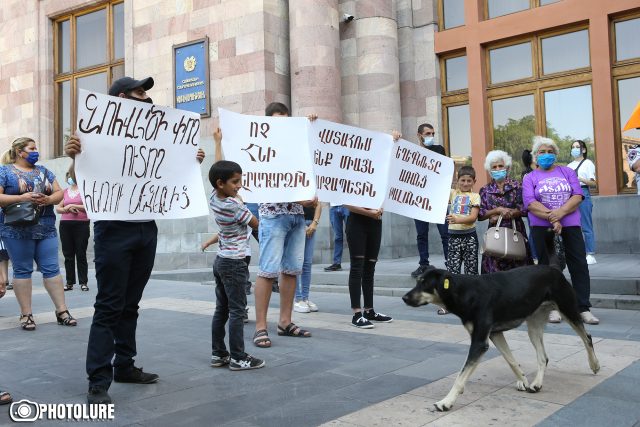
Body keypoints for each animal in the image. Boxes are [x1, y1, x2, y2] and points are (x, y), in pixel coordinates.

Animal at [404, 268, 600, 412]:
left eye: (424, 284)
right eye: (418, 281)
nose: (404, 298)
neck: (464, 292)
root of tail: (555, 269)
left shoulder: (479, 343)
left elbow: (460, 377)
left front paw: (446, 401)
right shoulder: (495, 334)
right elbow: (511, 360)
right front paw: (523, 381)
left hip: (568, 310)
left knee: (587, 338)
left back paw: (594, 365)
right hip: (534, 325)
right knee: (543, 357)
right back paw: (536, 383)